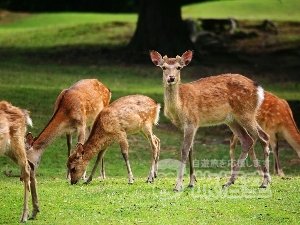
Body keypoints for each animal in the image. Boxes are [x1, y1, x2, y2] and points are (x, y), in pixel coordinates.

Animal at [150, 50, 270, 191]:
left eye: (179, 67)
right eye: (164, 67)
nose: (171, 78)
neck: (179, 106)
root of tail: (259, 89)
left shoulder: (192, 121)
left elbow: (184, 150)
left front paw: (178, 185)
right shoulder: (188, 125)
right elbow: (191, 150)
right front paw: (191, 182)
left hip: (246, 113)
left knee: (264, 136)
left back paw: (265, 182)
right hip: (232, 119)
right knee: (247, 140)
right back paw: (229, 182)